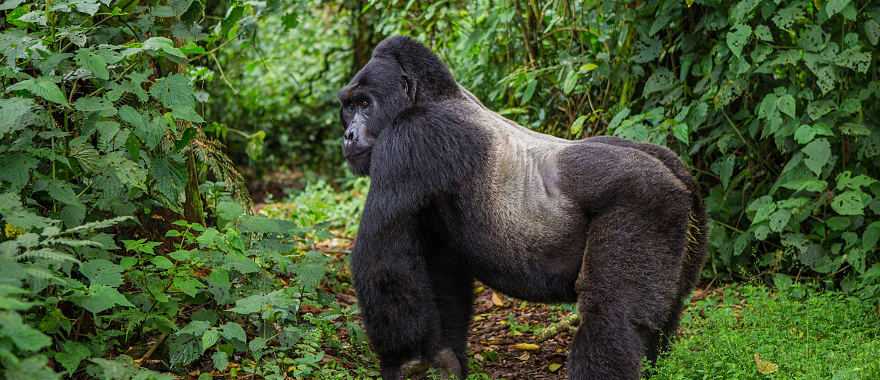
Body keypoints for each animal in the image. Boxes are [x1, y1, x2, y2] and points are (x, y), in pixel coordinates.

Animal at [336, 36, 708, 380]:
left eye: (365, 103)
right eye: (348, 107)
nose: (348, 136)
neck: (433, 96)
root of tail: (677, 177)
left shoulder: (411, 139)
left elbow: (383, 262)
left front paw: (404, 361)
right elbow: (442, 275)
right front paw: (446, 359)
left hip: (648, 200)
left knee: (611, 315)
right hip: (687, 216)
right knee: (664, 312)